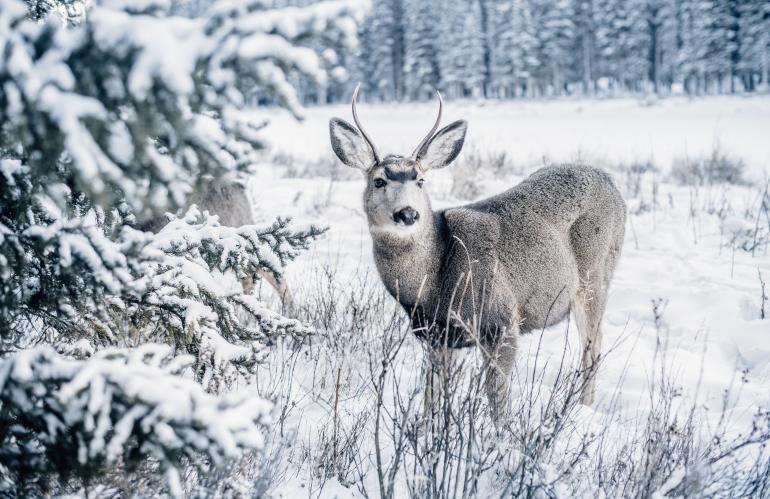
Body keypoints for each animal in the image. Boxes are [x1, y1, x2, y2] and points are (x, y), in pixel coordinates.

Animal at [328, 87, 624, 418]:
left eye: (420, 180)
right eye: (378, 181)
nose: (407, 213)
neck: (433, 286)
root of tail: (611, 181)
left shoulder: (501, 321)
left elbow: (498, 403)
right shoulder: (437, 337)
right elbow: (432, 399)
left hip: (595, 275)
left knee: (592, 346)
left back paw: (583, 408)